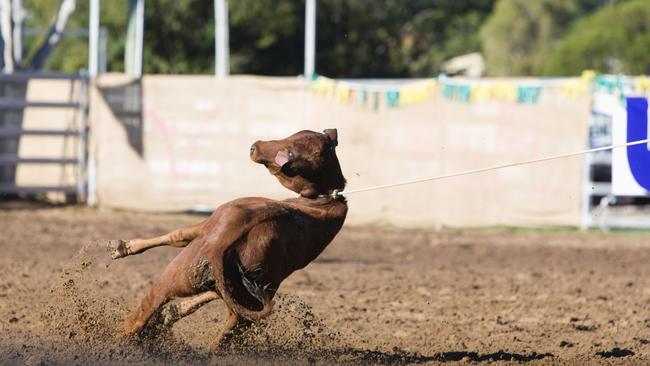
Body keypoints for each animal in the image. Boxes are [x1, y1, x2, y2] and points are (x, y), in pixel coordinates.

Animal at [109, 129, 346, 352]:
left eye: (289, 153)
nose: (255, 146)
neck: (324, 199)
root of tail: (221, 244)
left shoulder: (207, 224)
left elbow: (177, 235)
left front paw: (122, 247)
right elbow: (209, 293)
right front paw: (173, 312)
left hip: (173, 275)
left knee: (142, 313)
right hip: (244, 303)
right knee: (226, 330)